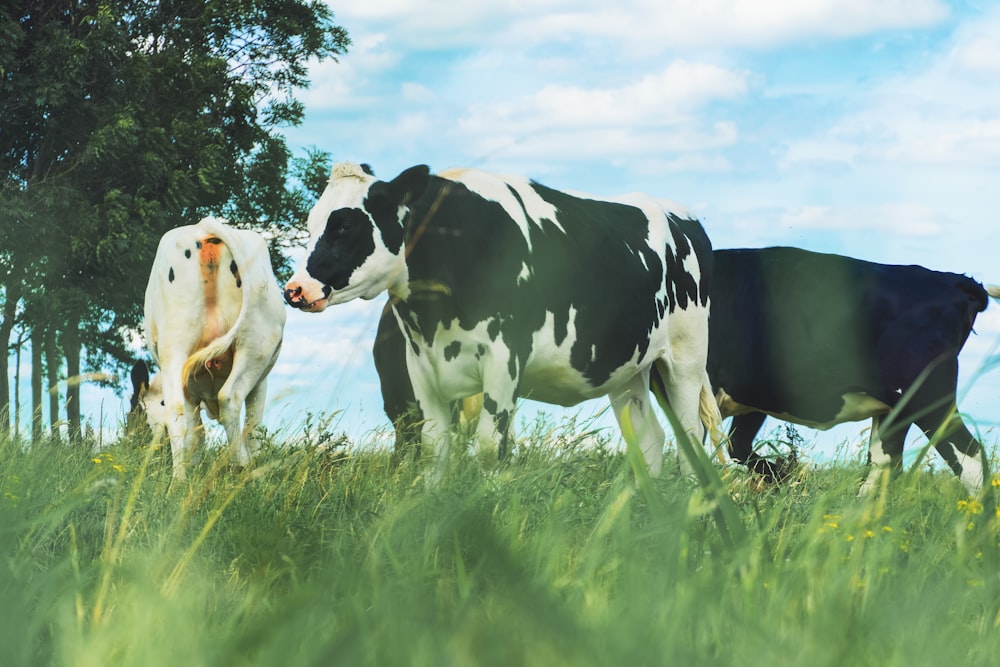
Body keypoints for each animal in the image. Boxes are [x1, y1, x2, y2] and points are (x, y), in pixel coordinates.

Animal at [139, 219, 286, 480]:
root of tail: (204, 226)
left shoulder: (190, 390)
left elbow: (195, 432)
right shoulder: (261, 381)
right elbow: (254, 425)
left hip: (174, 345)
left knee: (176, 411)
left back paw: (179, 479)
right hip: (256, 345)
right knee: (230, 398)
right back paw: (242, 466)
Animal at [286, 163, 724, 486]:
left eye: (345, 225)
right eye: (310, 224)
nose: (294, 289)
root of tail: (679, 214)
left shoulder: (504, 358)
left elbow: (489, 447)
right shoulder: (421, 368)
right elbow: (434, 449)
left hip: (685, 358)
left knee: (690, 438)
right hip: (628, 369)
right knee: (649, 438)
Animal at [708, 247, 996, 496]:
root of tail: (950, 280)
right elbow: (737, 445)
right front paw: (786, 478)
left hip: (928, 395)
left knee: (970, 458)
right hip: (896, 409)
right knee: (883, 466)